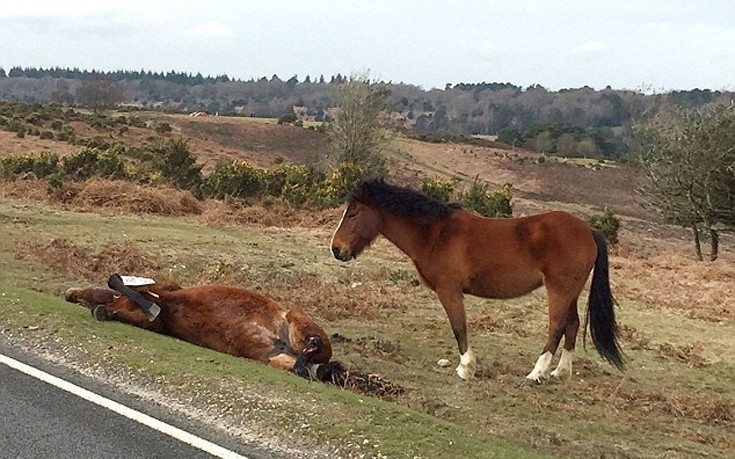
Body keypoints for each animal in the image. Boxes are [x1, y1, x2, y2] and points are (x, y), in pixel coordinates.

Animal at [64, 276, 334, 378]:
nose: (69, 293)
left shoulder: (156, 294)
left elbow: (117, 285)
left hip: (296, 319)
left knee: (313, 353)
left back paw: (313, 348)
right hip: (274, 358)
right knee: (303, 367)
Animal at [330, 180, 624, 384]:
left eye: (353, 214)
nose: (336, 249)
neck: (436, 234)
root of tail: (589, 230)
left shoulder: (449, 291)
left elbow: (459, 327)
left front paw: (466, 368)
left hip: (559, 290)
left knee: (557, 327)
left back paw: (536, 373)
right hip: (570, 292)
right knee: (572, 326)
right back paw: (561, 372)